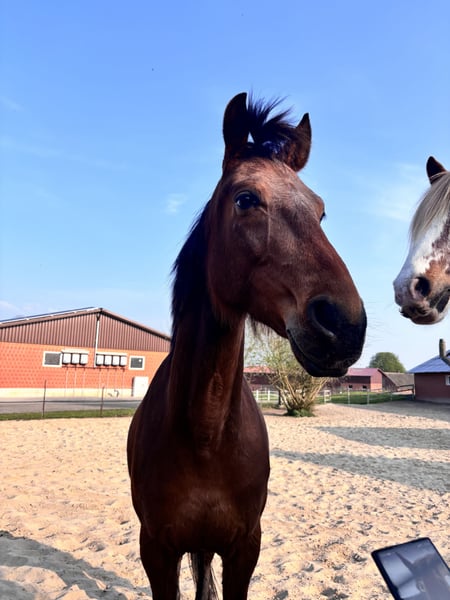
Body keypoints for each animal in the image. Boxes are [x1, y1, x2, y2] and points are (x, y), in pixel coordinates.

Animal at [127, 92, 367, 599]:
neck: (205, 436)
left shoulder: (244, 549)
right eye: (245, 199)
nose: (345, 324)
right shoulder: (156, 551)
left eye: (320, 211)